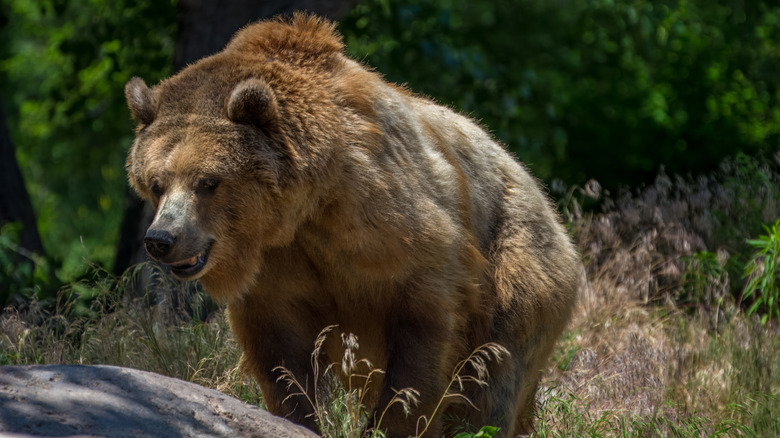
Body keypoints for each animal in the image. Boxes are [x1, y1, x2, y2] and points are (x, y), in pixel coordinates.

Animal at [125, 13, 580, 438]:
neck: (301, 212)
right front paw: (298, 413)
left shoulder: (392, 228)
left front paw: (394, 420)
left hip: (517, 263)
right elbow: (280, 360)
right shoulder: (274, 275)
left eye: (208, 182)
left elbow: (423, 335)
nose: (162, 239)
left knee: (491, 381)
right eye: (156, 182)